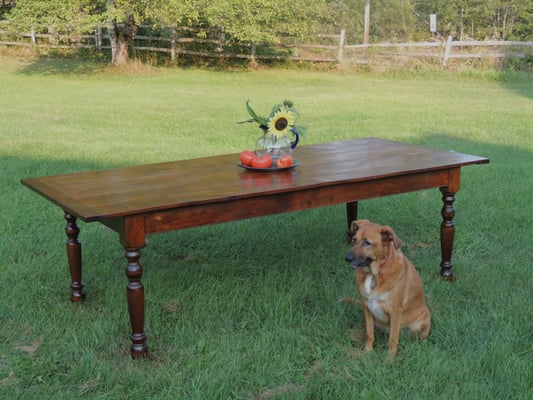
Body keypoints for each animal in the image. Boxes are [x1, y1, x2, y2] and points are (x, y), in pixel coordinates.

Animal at [344, 220, 428, 360]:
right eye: (354, 240)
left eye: (367, 243)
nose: (347, 258)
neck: (374, 274)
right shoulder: (367, 307)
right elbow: (369, 334)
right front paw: (367, 352)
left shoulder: (395, 312)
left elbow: (393, 340)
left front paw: (389, 360)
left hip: (424, 319)